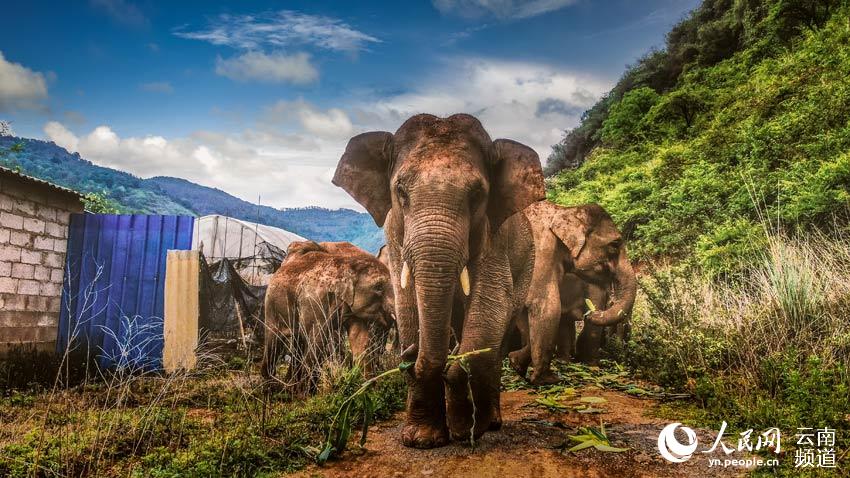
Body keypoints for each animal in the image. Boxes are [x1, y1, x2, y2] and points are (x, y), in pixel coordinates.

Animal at [260, 239, 392, 392]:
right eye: (378, 288)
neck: (347, 265)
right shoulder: (317, 301)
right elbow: (317, 339)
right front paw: (306, 393)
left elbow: (359, 338)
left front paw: (369, 390)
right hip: (272, 305)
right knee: (275, 341)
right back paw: (272, 387)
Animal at [332, 112, 544, 448]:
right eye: (401, 192)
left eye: (477, 195)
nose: (407, 354)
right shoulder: (394, 235)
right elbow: (407, 307)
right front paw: (422, 440)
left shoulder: (493, 235)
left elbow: (491, 305)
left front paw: (463, 430)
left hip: (528, 263)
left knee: (498, 337)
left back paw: (490, 423)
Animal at [506, 202, 632, 384]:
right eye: (615, 245)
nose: (590, 313)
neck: (564, 211)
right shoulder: (541, 251)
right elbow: (546, 305)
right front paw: (547, 380)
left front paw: (516, 363)